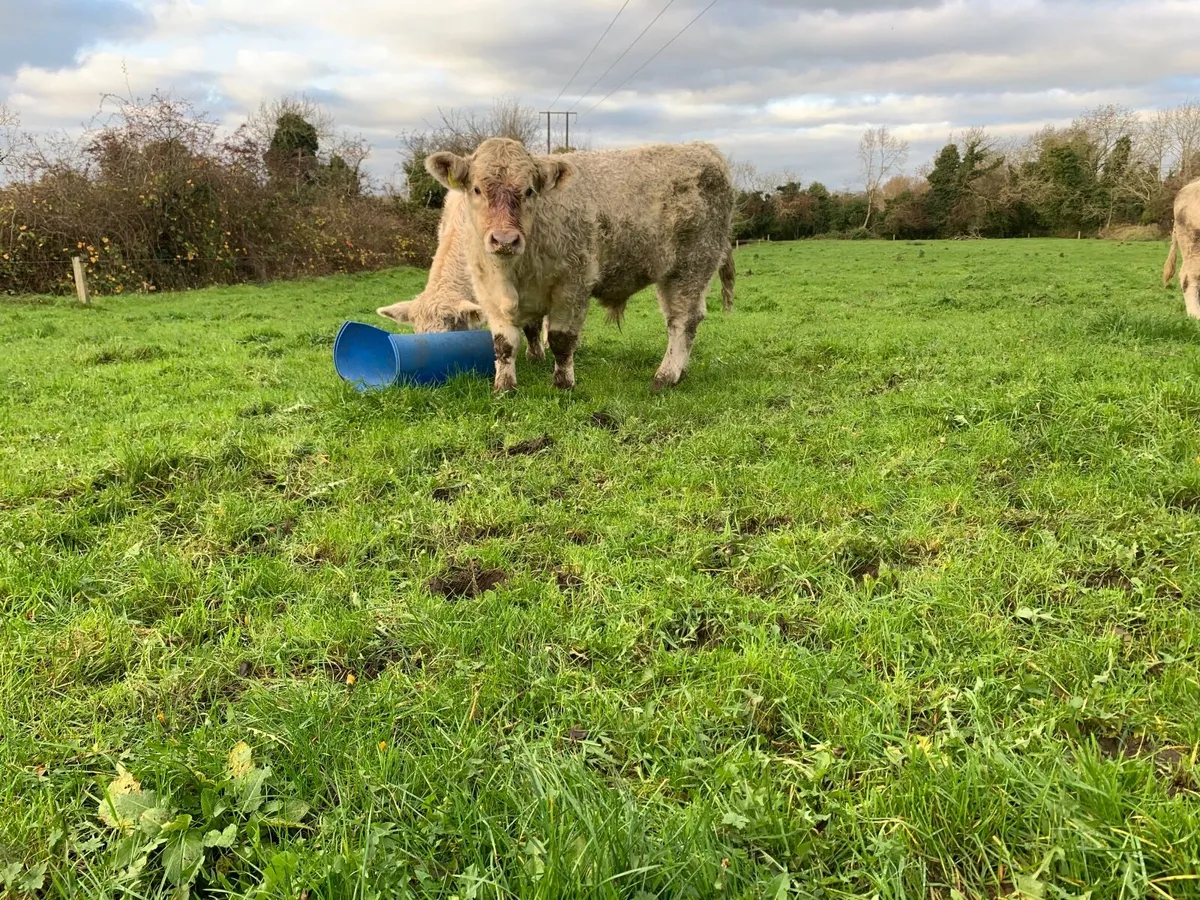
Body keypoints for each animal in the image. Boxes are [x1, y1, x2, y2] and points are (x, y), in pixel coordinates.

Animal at [420, 138, 736, 393]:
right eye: (476, 189)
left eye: (530, 191)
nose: (505, 239)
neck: (513, 271)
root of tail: (702, 148)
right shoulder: (489, 292)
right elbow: (504, 343)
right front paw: (504, 387)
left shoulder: (572, 284)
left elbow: (561, 339)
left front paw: (563, 384)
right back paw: (680, 372)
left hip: (691, 265)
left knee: (682, 321)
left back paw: (666, 375)